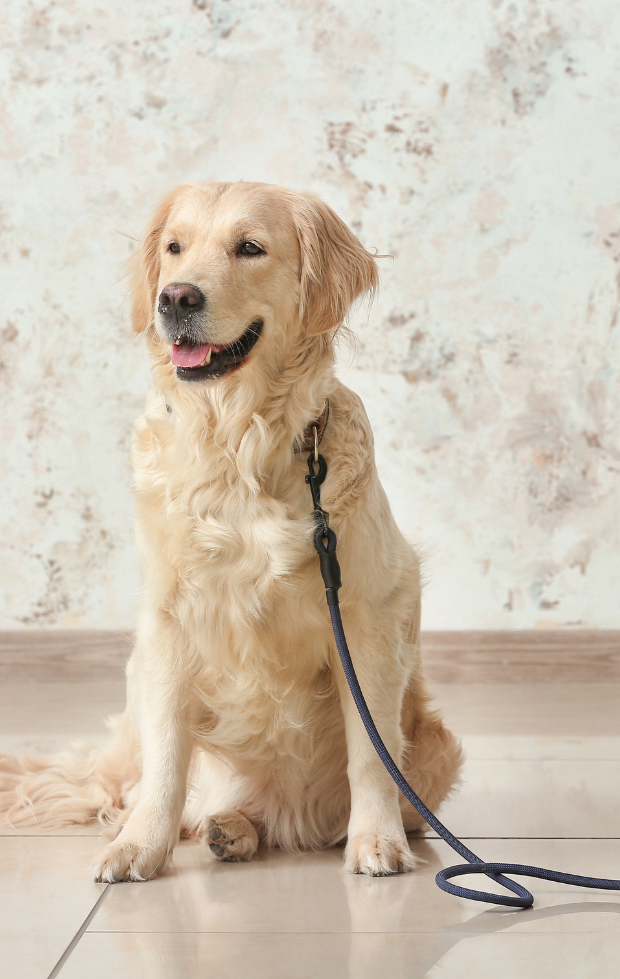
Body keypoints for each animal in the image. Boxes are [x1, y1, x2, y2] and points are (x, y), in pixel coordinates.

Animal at [0, 182, 460, 880]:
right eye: (174, 247)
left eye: (249, 247)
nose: (176, 297)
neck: (239, 445)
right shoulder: (168, 624)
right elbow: (167, 761)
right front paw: (139, 846)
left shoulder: (366, 616)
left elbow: (371, 752)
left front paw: (377, 841)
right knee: (174, 790)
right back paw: (225, 827)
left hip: (436, 746)